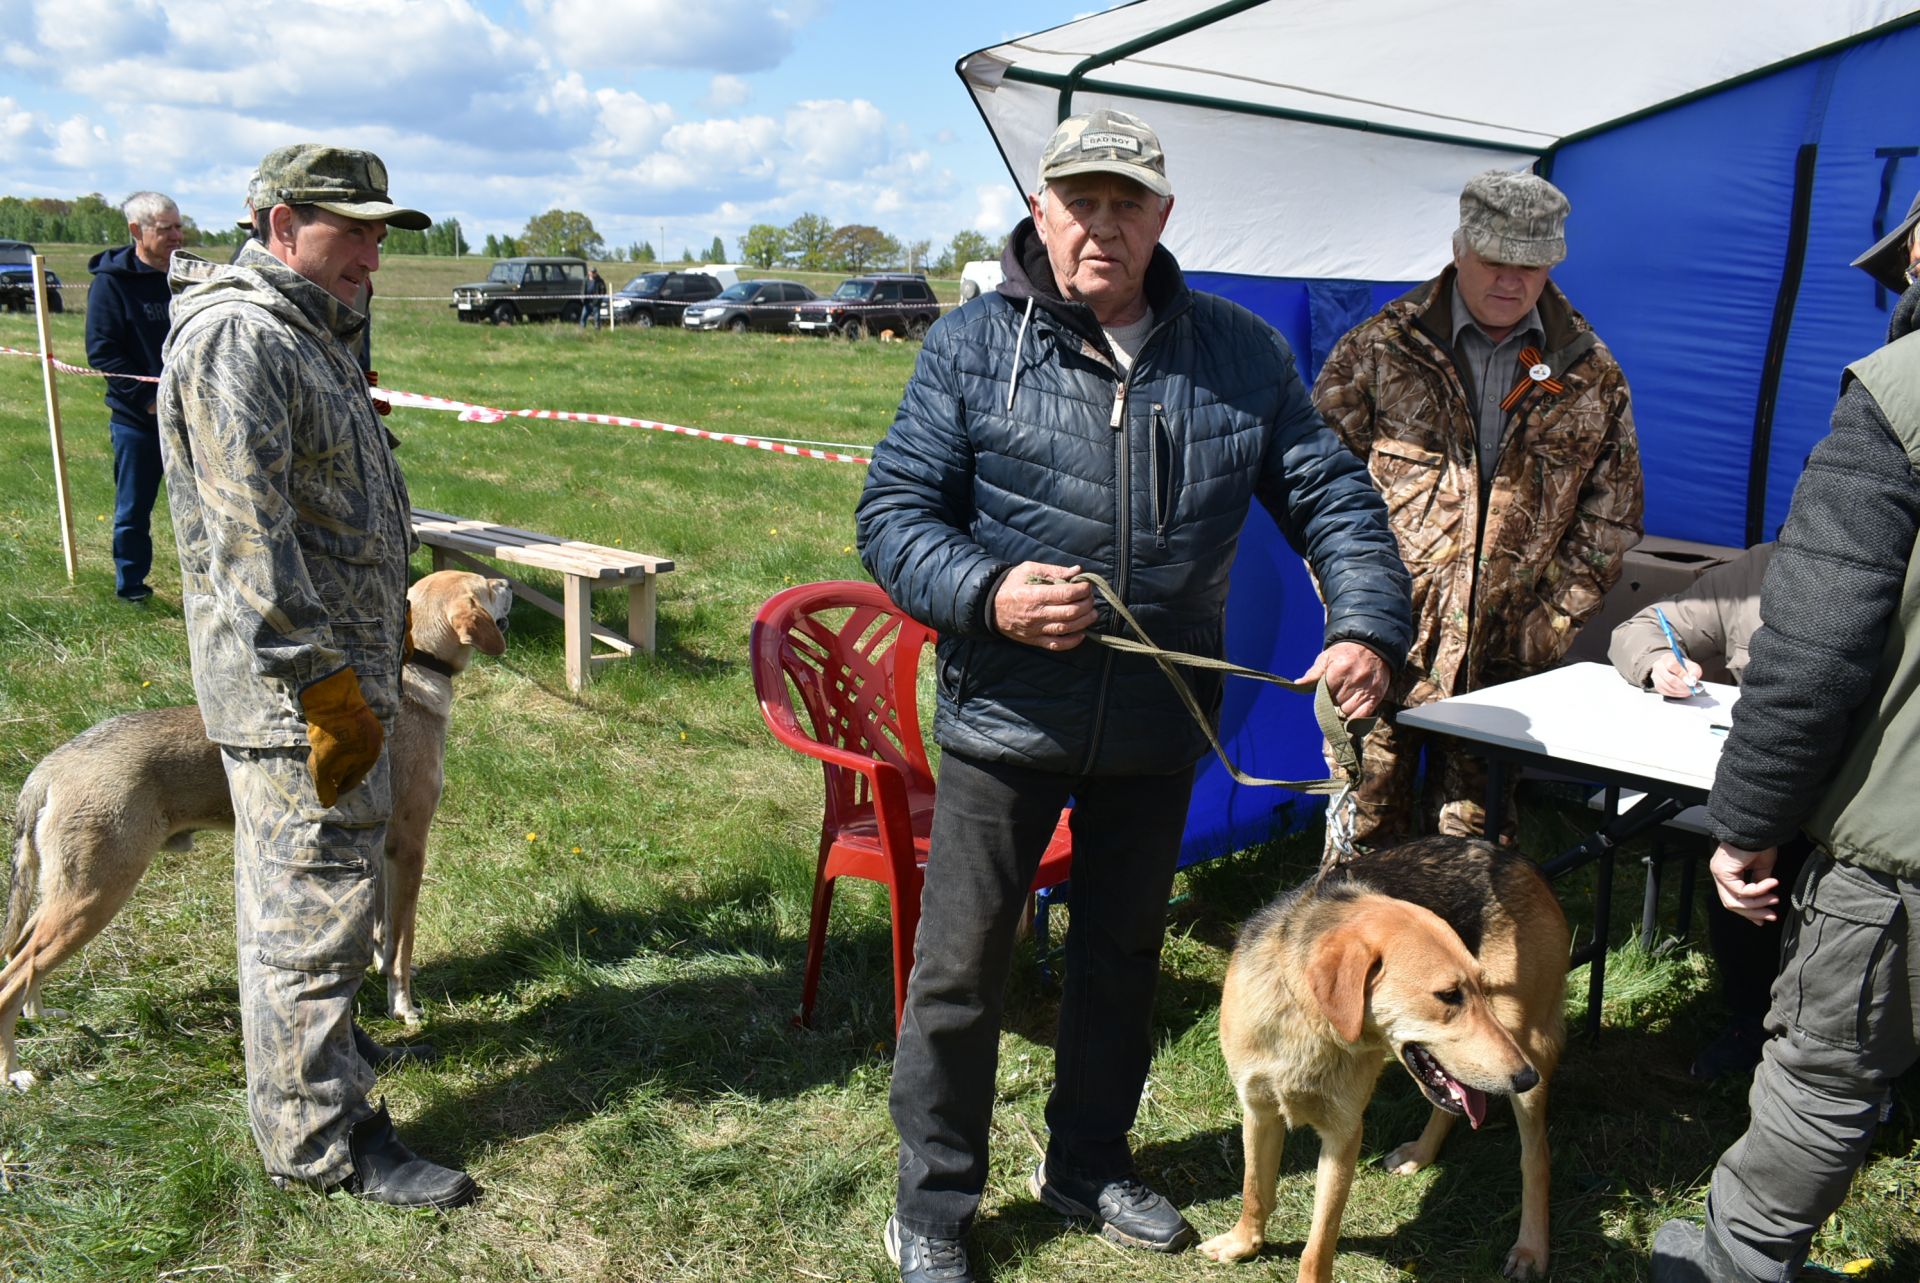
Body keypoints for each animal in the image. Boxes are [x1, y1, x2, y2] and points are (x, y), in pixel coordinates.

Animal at [1, 576, 510, 1090]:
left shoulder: (378, 853)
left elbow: (384, 936)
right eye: (486, 588)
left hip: (64, 891)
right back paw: (15, 1071)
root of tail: (50, 768)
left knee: (22, 954)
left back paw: (39, 1014)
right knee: (14, 974)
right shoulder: (409, 849)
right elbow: (403, 944)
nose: (506, 581)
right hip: (95, 894)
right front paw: (404, 1008)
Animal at [1198, 837, 1574, 1275]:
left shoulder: (1344, 1133)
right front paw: (1244, 1242)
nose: (1526, 1077)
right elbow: (1254, 1190)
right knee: (1451, 1105)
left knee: (1536, 1160)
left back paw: (1531, 1248)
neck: (1307, 1026)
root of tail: (1513, 857)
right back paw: (1422, 1153)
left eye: (1479, 987)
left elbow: (1318, 1244)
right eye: (1449, 995)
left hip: (1525, 1046)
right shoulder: (1258, 1110)